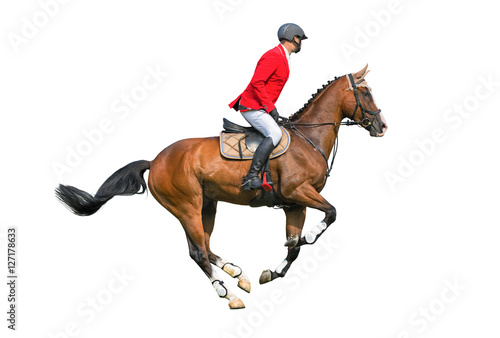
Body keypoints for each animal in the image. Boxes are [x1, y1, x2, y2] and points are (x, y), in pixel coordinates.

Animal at [56, 64, 388, 310]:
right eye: (365, 92)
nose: (382, 126)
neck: (309, 140)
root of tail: (155, 159)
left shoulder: (295, 204)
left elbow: (294, 247)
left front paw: (274, 271)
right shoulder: (299, 193)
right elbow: (331, 214)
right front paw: (309, 237)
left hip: (208, 205)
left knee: (205, 245)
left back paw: (236, 273)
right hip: (187, 207)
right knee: (197, 253)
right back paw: (228, 294)